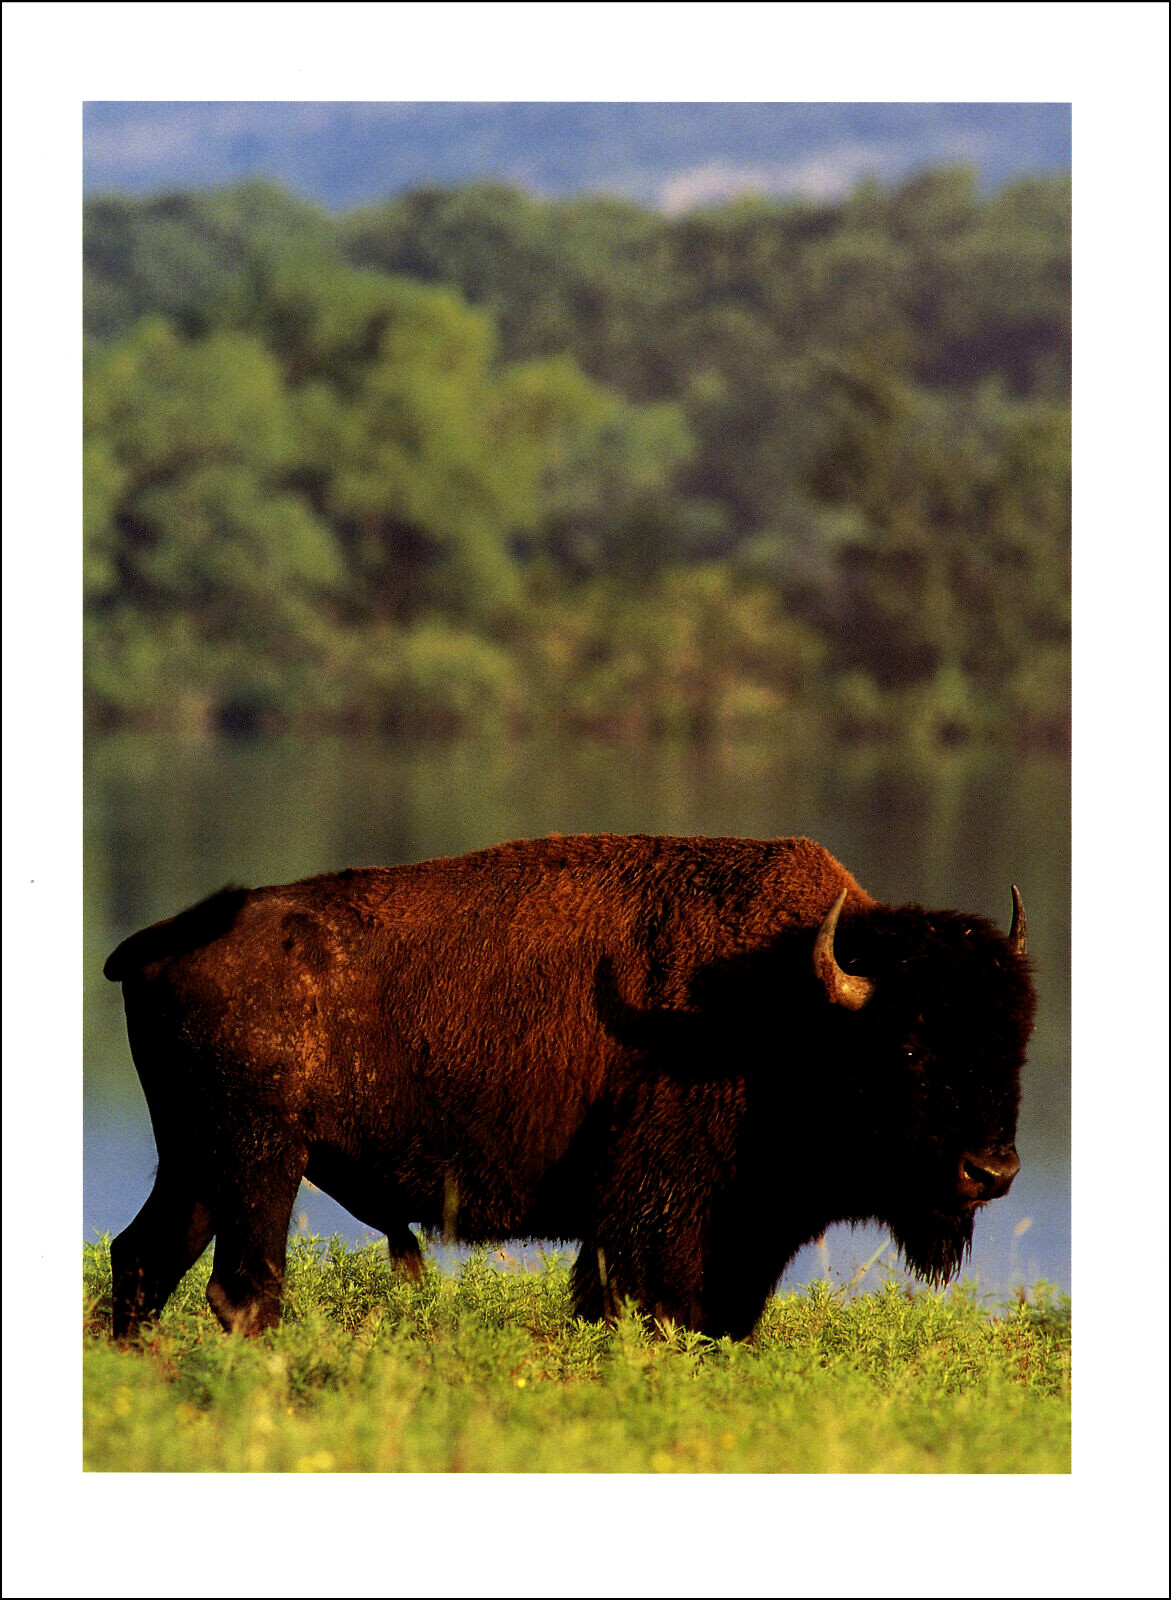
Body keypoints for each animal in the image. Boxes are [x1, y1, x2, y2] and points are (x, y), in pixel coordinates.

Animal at [103, 833, 1034, 1341]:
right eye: (908, 1048)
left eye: (1013, 1047)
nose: (991, 1172)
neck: (785, 1000)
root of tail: (170, 936)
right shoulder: (656, 1227)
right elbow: (648, 1311)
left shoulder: (747, 1239)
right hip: (261, 1161)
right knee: (243, 1291)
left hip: (198, 1164)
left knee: (144, 1259)